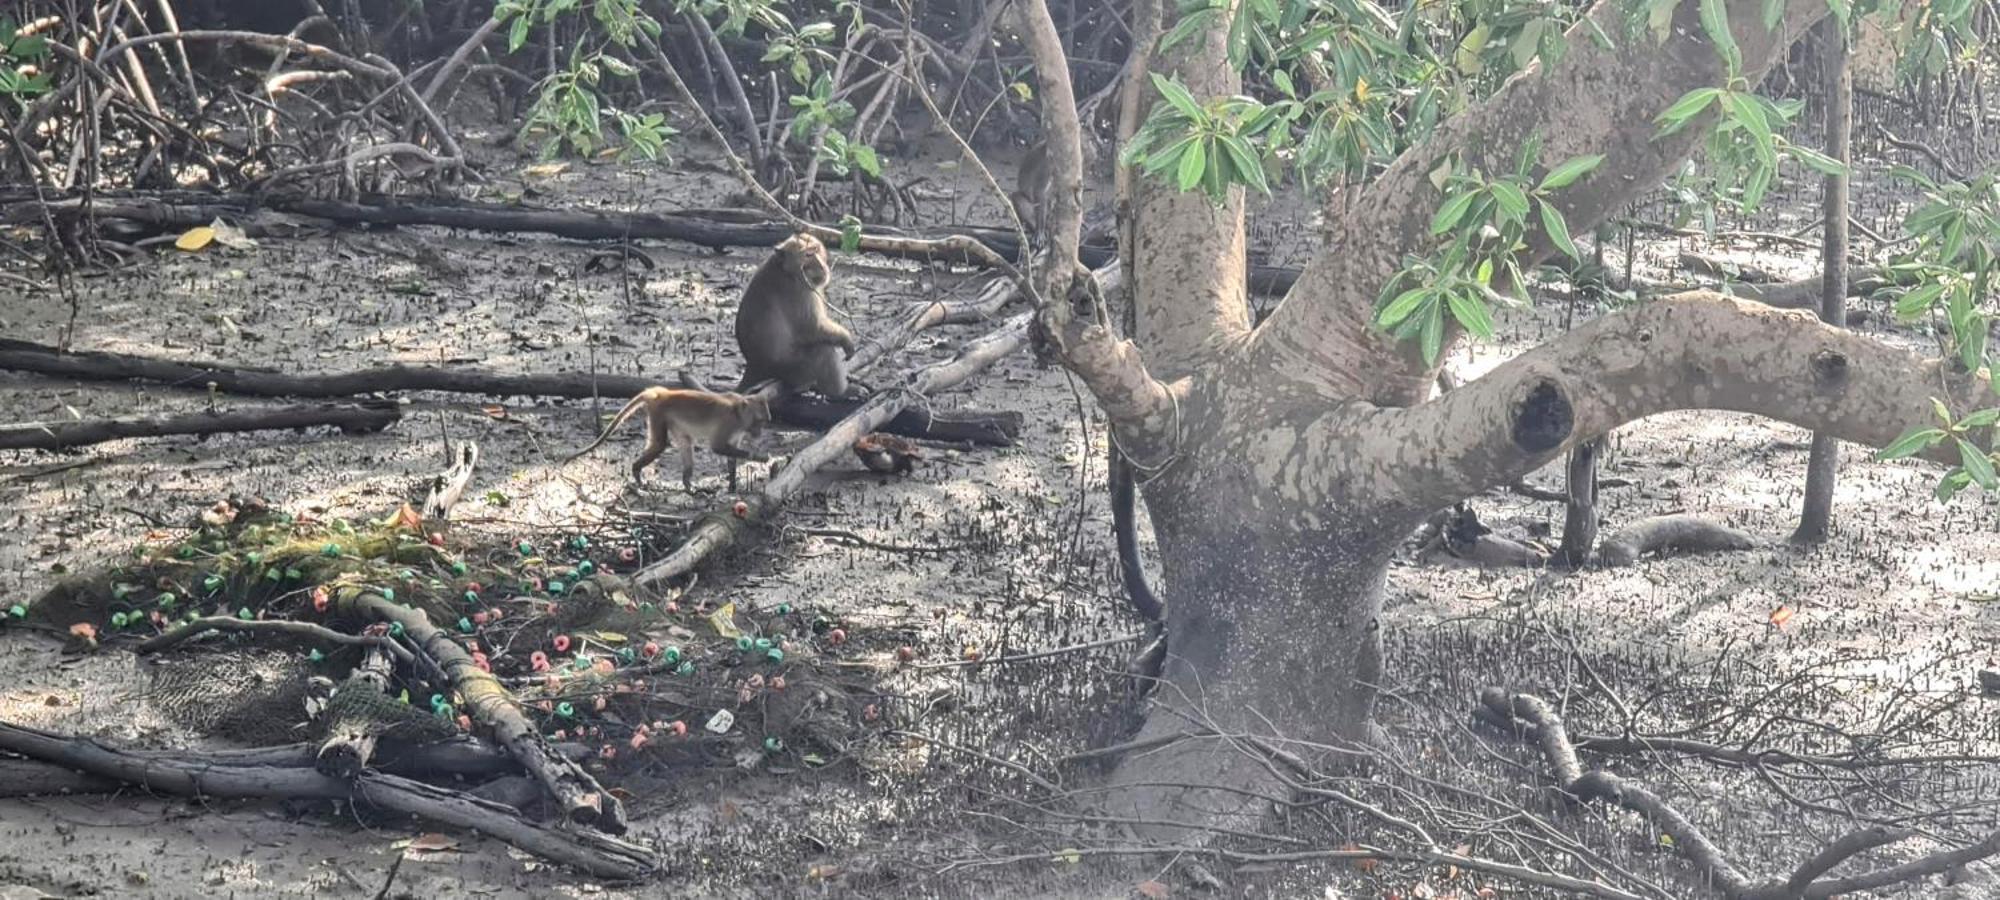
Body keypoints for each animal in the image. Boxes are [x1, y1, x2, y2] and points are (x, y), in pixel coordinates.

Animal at [576, 386, 776, 492]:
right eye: (759, 421)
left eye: (765, 422)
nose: (759, 433)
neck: (738, 413)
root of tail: (662, 393)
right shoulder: (728, 423)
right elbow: (717, 447)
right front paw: (759, 457)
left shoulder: (737, 431)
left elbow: (730, 457)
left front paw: (733, 486)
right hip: (658, 413)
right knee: (660, 444)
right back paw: (637, 472)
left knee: (686, 443)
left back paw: (687, 484)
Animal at [736, 232, 860, 398]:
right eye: (807, 255)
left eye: (816, 249)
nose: (822, 265)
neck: (785, 269)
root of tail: (754, 366)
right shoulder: (800, 290)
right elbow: (813, 328)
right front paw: (846, 339)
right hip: (793, 369)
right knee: (823, 351)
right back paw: (840, 392)